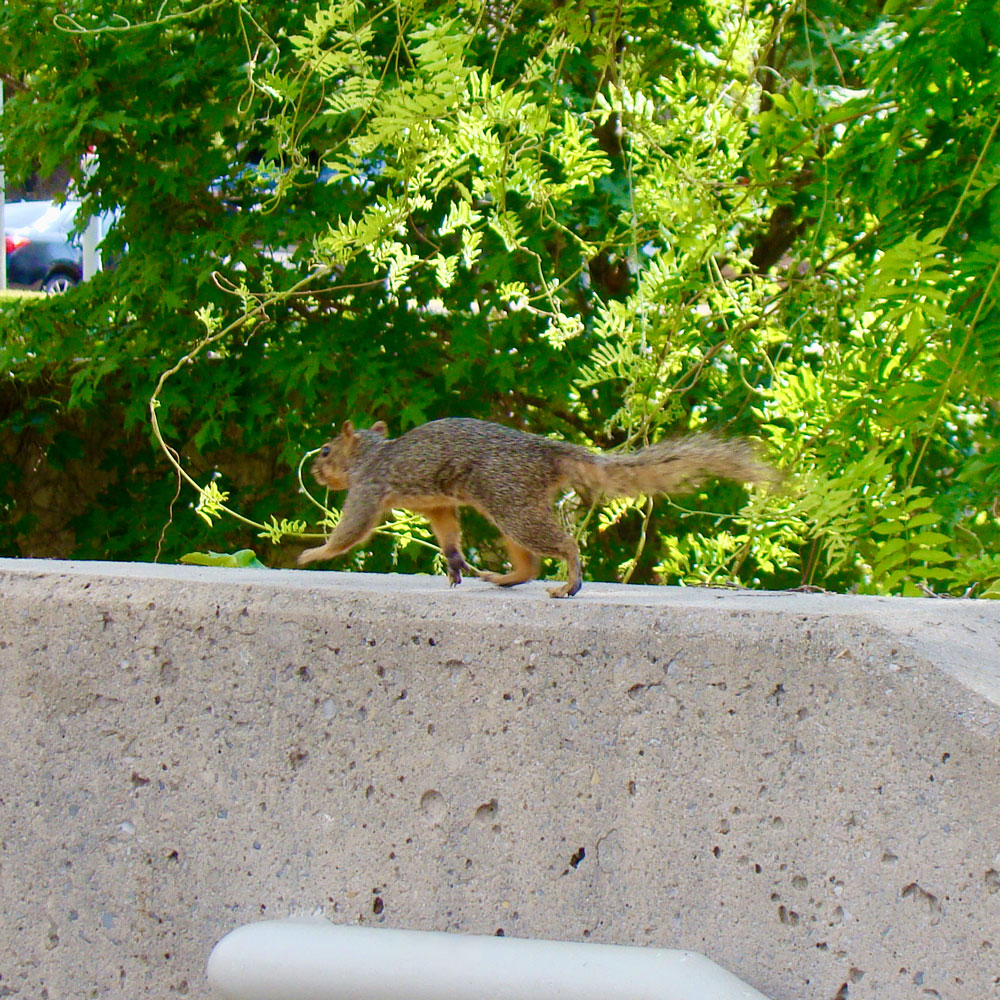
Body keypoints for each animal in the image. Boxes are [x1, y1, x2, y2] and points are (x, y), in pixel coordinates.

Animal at [292, 418, 776, 596]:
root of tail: (546, 452)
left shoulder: (369, 489)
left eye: (326, 450)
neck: (372, 455)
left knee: (563, 547)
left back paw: (570, 583)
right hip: (513, 509)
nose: (314, 470)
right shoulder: (438, 505)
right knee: (529, 566)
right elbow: (448, 534)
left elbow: (351, 531)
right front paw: (454, 565)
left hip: (514, 508)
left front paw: (313, 553)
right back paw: (501, 577)